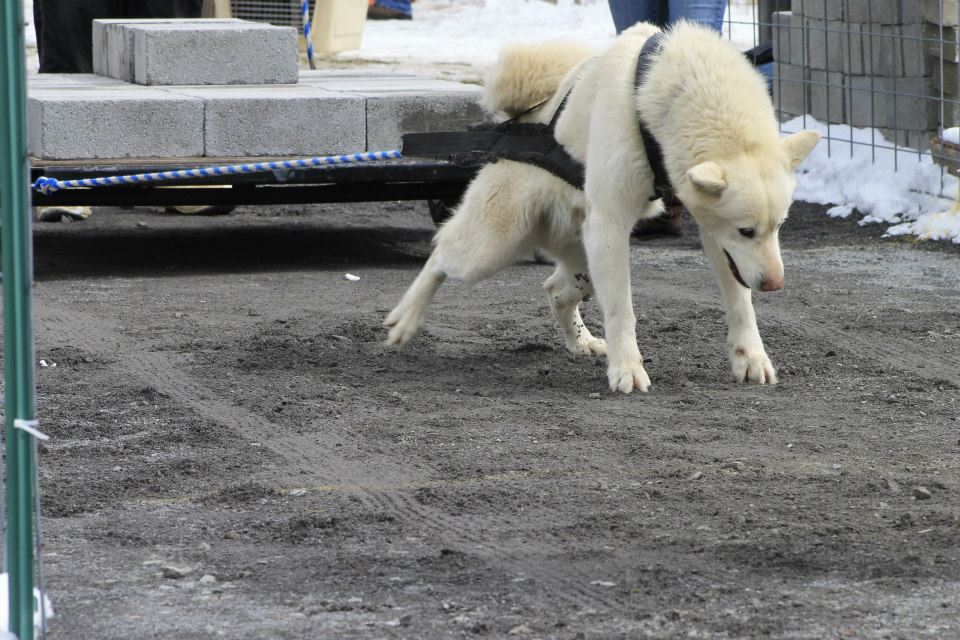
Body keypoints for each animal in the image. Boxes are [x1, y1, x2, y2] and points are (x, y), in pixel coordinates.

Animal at [386, 22, 820, 392]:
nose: (775, 284)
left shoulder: (715, 234)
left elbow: (739, 302)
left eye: (780, 226)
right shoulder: (612, 225)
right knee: (441, 254)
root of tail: (521, 117)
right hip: (496, 245)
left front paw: (750, 358)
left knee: (555, 289)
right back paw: (405, 320)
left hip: (583, 256)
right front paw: (627, 368)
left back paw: (582, 343)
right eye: (747, 230)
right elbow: (621, 310)